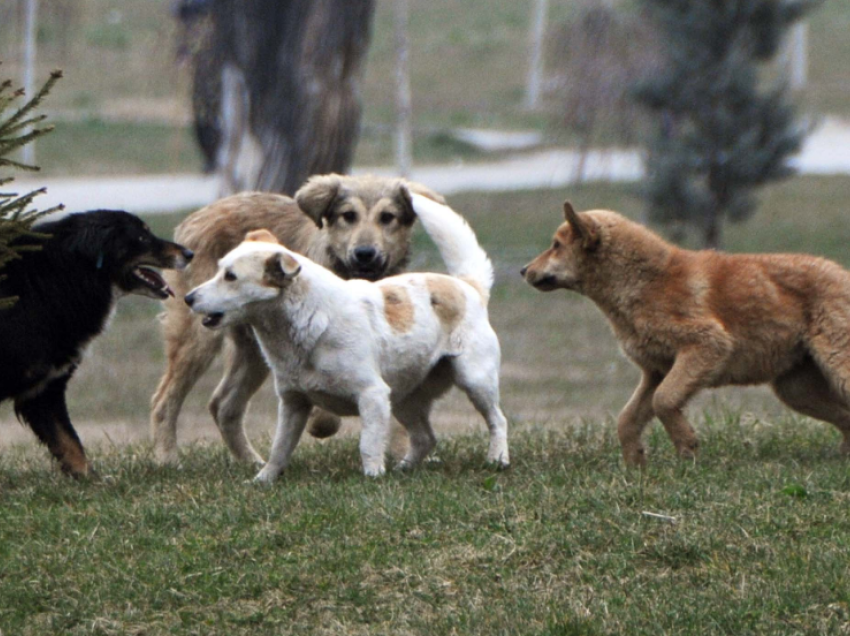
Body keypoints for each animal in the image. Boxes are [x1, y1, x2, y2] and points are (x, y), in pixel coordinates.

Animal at [150, 173, 440, 462]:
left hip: (253, 351)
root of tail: (197, 216)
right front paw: (321, 423)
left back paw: (251, 462)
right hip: (198, 338)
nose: (365, 253)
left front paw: (402, 453)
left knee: (223, 406)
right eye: (349, 215)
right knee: (165, 400)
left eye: (387, 217)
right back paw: (167, 458)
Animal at [520, 204, 848, 468]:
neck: (642, 282)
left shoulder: (707, 344)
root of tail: (842, 274)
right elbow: (627, 419)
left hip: (834, 366)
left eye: (556, 245)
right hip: (796, 389)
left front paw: (686, 448)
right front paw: (635, 465)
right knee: (845, 415)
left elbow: (663, 402)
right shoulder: (656, 371)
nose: (523, 270)